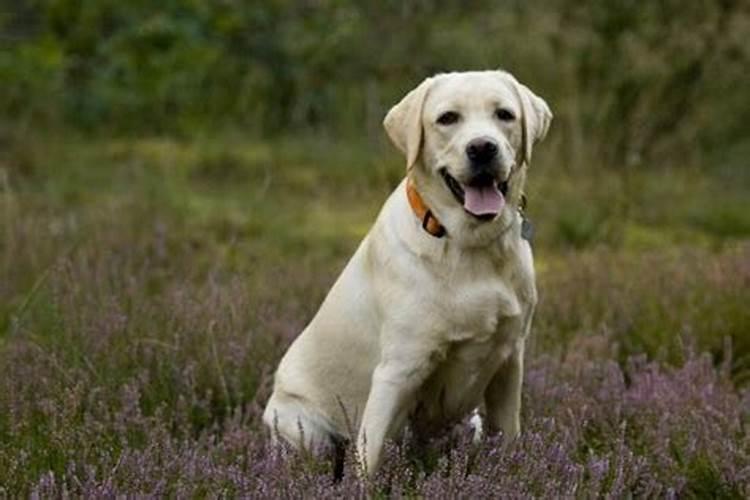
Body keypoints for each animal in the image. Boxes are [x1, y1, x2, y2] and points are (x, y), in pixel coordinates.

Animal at [264, 70, 552, 476]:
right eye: (448, 118)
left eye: (505, 115)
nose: (483, 148)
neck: (470, 244)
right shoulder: (398, 371)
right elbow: (367, 464)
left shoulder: (509, 361)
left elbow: (509, 440)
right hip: (304, 429)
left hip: (471, 423)